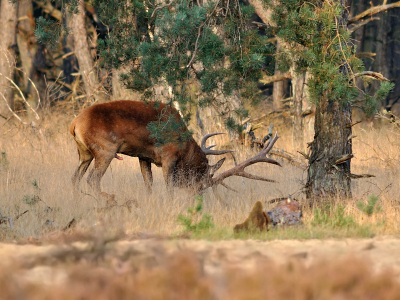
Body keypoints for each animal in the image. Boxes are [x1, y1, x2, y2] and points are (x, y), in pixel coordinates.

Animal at [69, 101, 282, 199]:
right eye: (201, 185)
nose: (197, 198)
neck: (185, 148)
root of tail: (74, 124)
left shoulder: (143, 156)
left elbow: (149, 183)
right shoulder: (168, 156)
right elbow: (169, 186)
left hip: (84, 153)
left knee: (75, 178)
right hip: (105, 150)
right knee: (92, 179)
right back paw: (108, 198)